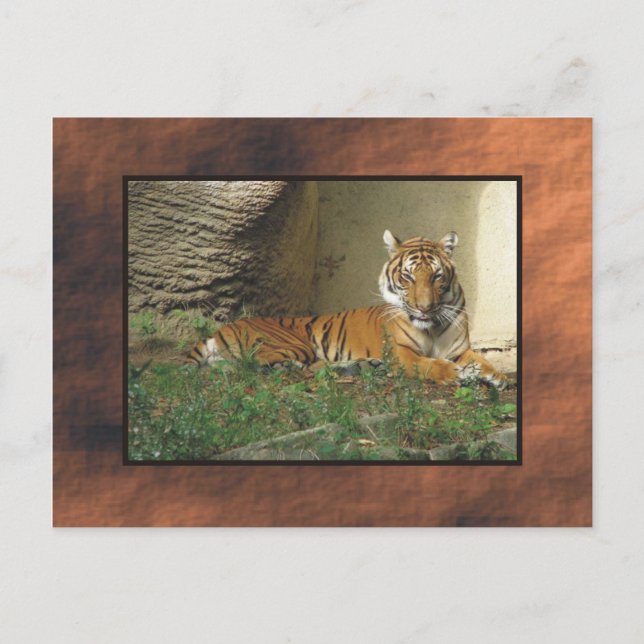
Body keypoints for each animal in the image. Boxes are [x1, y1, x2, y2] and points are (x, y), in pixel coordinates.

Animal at [187, 230, 508, 388]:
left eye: (437, 276)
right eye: (408, 277)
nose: (425, 308)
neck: (431, 327)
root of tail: (223, 327)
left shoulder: (460, 349)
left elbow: (481, 360)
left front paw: (497, 377)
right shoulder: (400, 353)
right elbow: (428, 364)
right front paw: (456, 374)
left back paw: (362, 366)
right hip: (293, 344)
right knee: (254, 364)